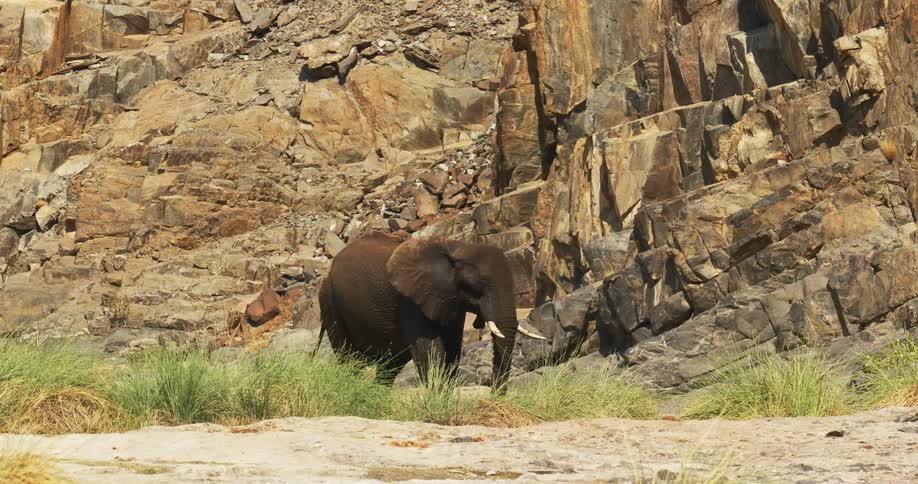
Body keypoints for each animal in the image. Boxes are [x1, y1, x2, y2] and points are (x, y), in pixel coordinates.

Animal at [316, 231, 546, 391]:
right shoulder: (410, 300)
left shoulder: (451, 301)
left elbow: (452, 350)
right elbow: (431, 352)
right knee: (348, 357)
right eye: (477, 286)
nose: (494, 396)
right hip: (330, 302)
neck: (457, 248)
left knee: (390, 364)